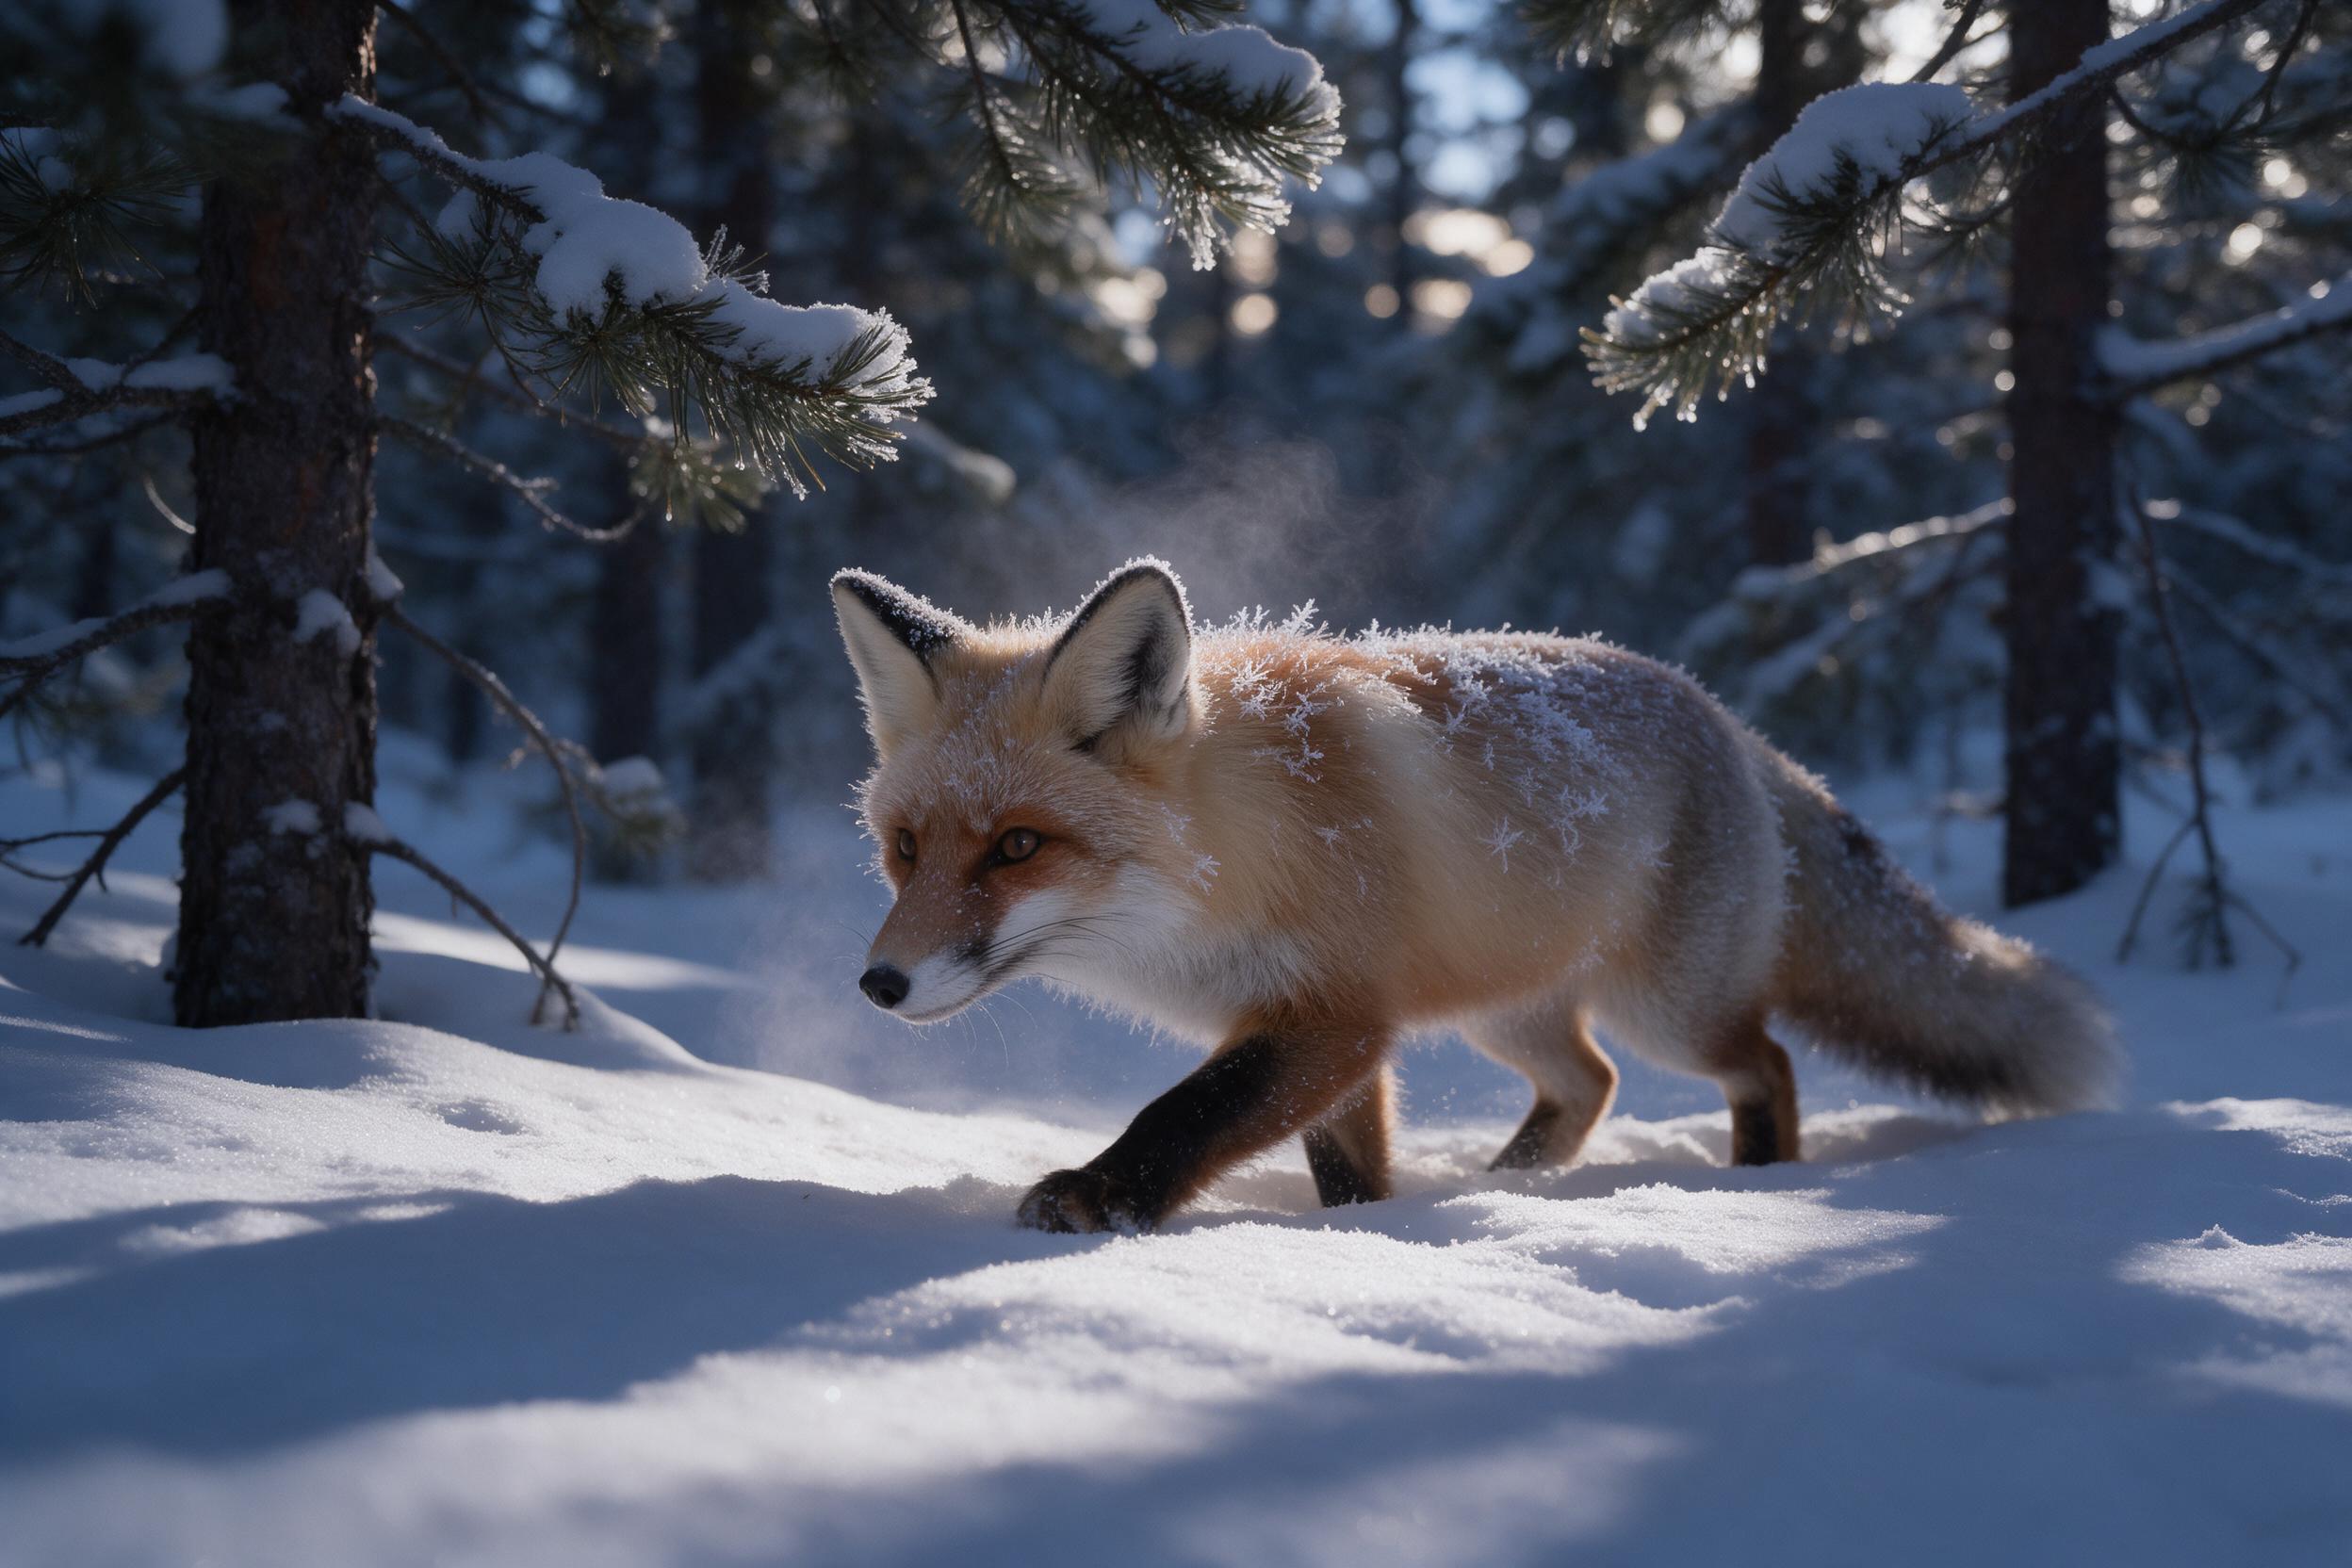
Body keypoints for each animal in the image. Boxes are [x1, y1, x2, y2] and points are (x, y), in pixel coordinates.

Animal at [832, 557, 2117, 1234]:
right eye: (905, 848)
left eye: (1017, 846)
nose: (879, 983)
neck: (1231, 853)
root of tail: (1729, 721)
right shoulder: (1330, 1028)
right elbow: (1343, 1165)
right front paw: (1373, 1233)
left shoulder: (1333, 1014)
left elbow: (1184, 1113)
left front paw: (1100, 1197)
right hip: (1509, 1008)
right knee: (1591, 1082)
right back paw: (1512, 1183)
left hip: (1673, 1008)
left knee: (1767, 1064)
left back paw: (1759, 1178)